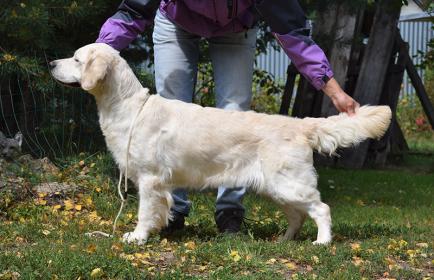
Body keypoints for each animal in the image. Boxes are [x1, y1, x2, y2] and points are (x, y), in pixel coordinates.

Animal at [49, 43, 392, 245]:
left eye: (76, 59)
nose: (51, 62)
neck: (128, 106)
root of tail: (301, 123)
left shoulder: (149, 179)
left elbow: (145, 212)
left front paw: (137, 237)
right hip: (276, 187)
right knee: (297, 215)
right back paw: (284, 241)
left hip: (290, 184)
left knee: (321, 208)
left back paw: (322, 242)